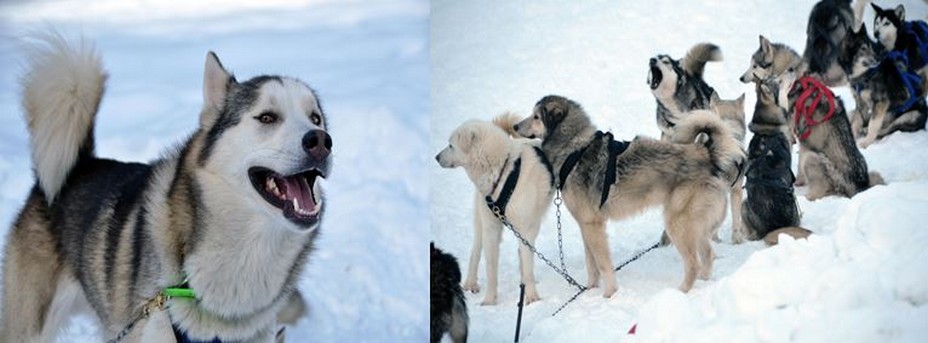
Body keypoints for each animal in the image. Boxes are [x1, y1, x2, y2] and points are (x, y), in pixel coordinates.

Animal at [434, 113, 556, 306]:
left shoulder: (526, 228)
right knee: (475, 252)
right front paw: (490, 300)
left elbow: (527, 264)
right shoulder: (491, 228)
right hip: (481, 223)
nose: (436, 157)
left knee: (523, 254)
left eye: (451, 145)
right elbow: (491, 269)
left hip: (533, 223)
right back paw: (470, 283)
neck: (504, 170)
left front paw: (531, 297)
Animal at [516, 95, 740, 296]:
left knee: (694, 263)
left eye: (536, 116)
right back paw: (703, 283)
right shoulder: (586, 225)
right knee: (708, 256)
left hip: (677, 224)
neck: (574, 149)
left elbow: (603, 265)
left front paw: (609, 295)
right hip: (695, 227)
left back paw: (680, 292)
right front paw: (589, 291)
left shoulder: (593, 226)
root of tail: (708, 155)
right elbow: (591, 265)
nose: (515, 127)